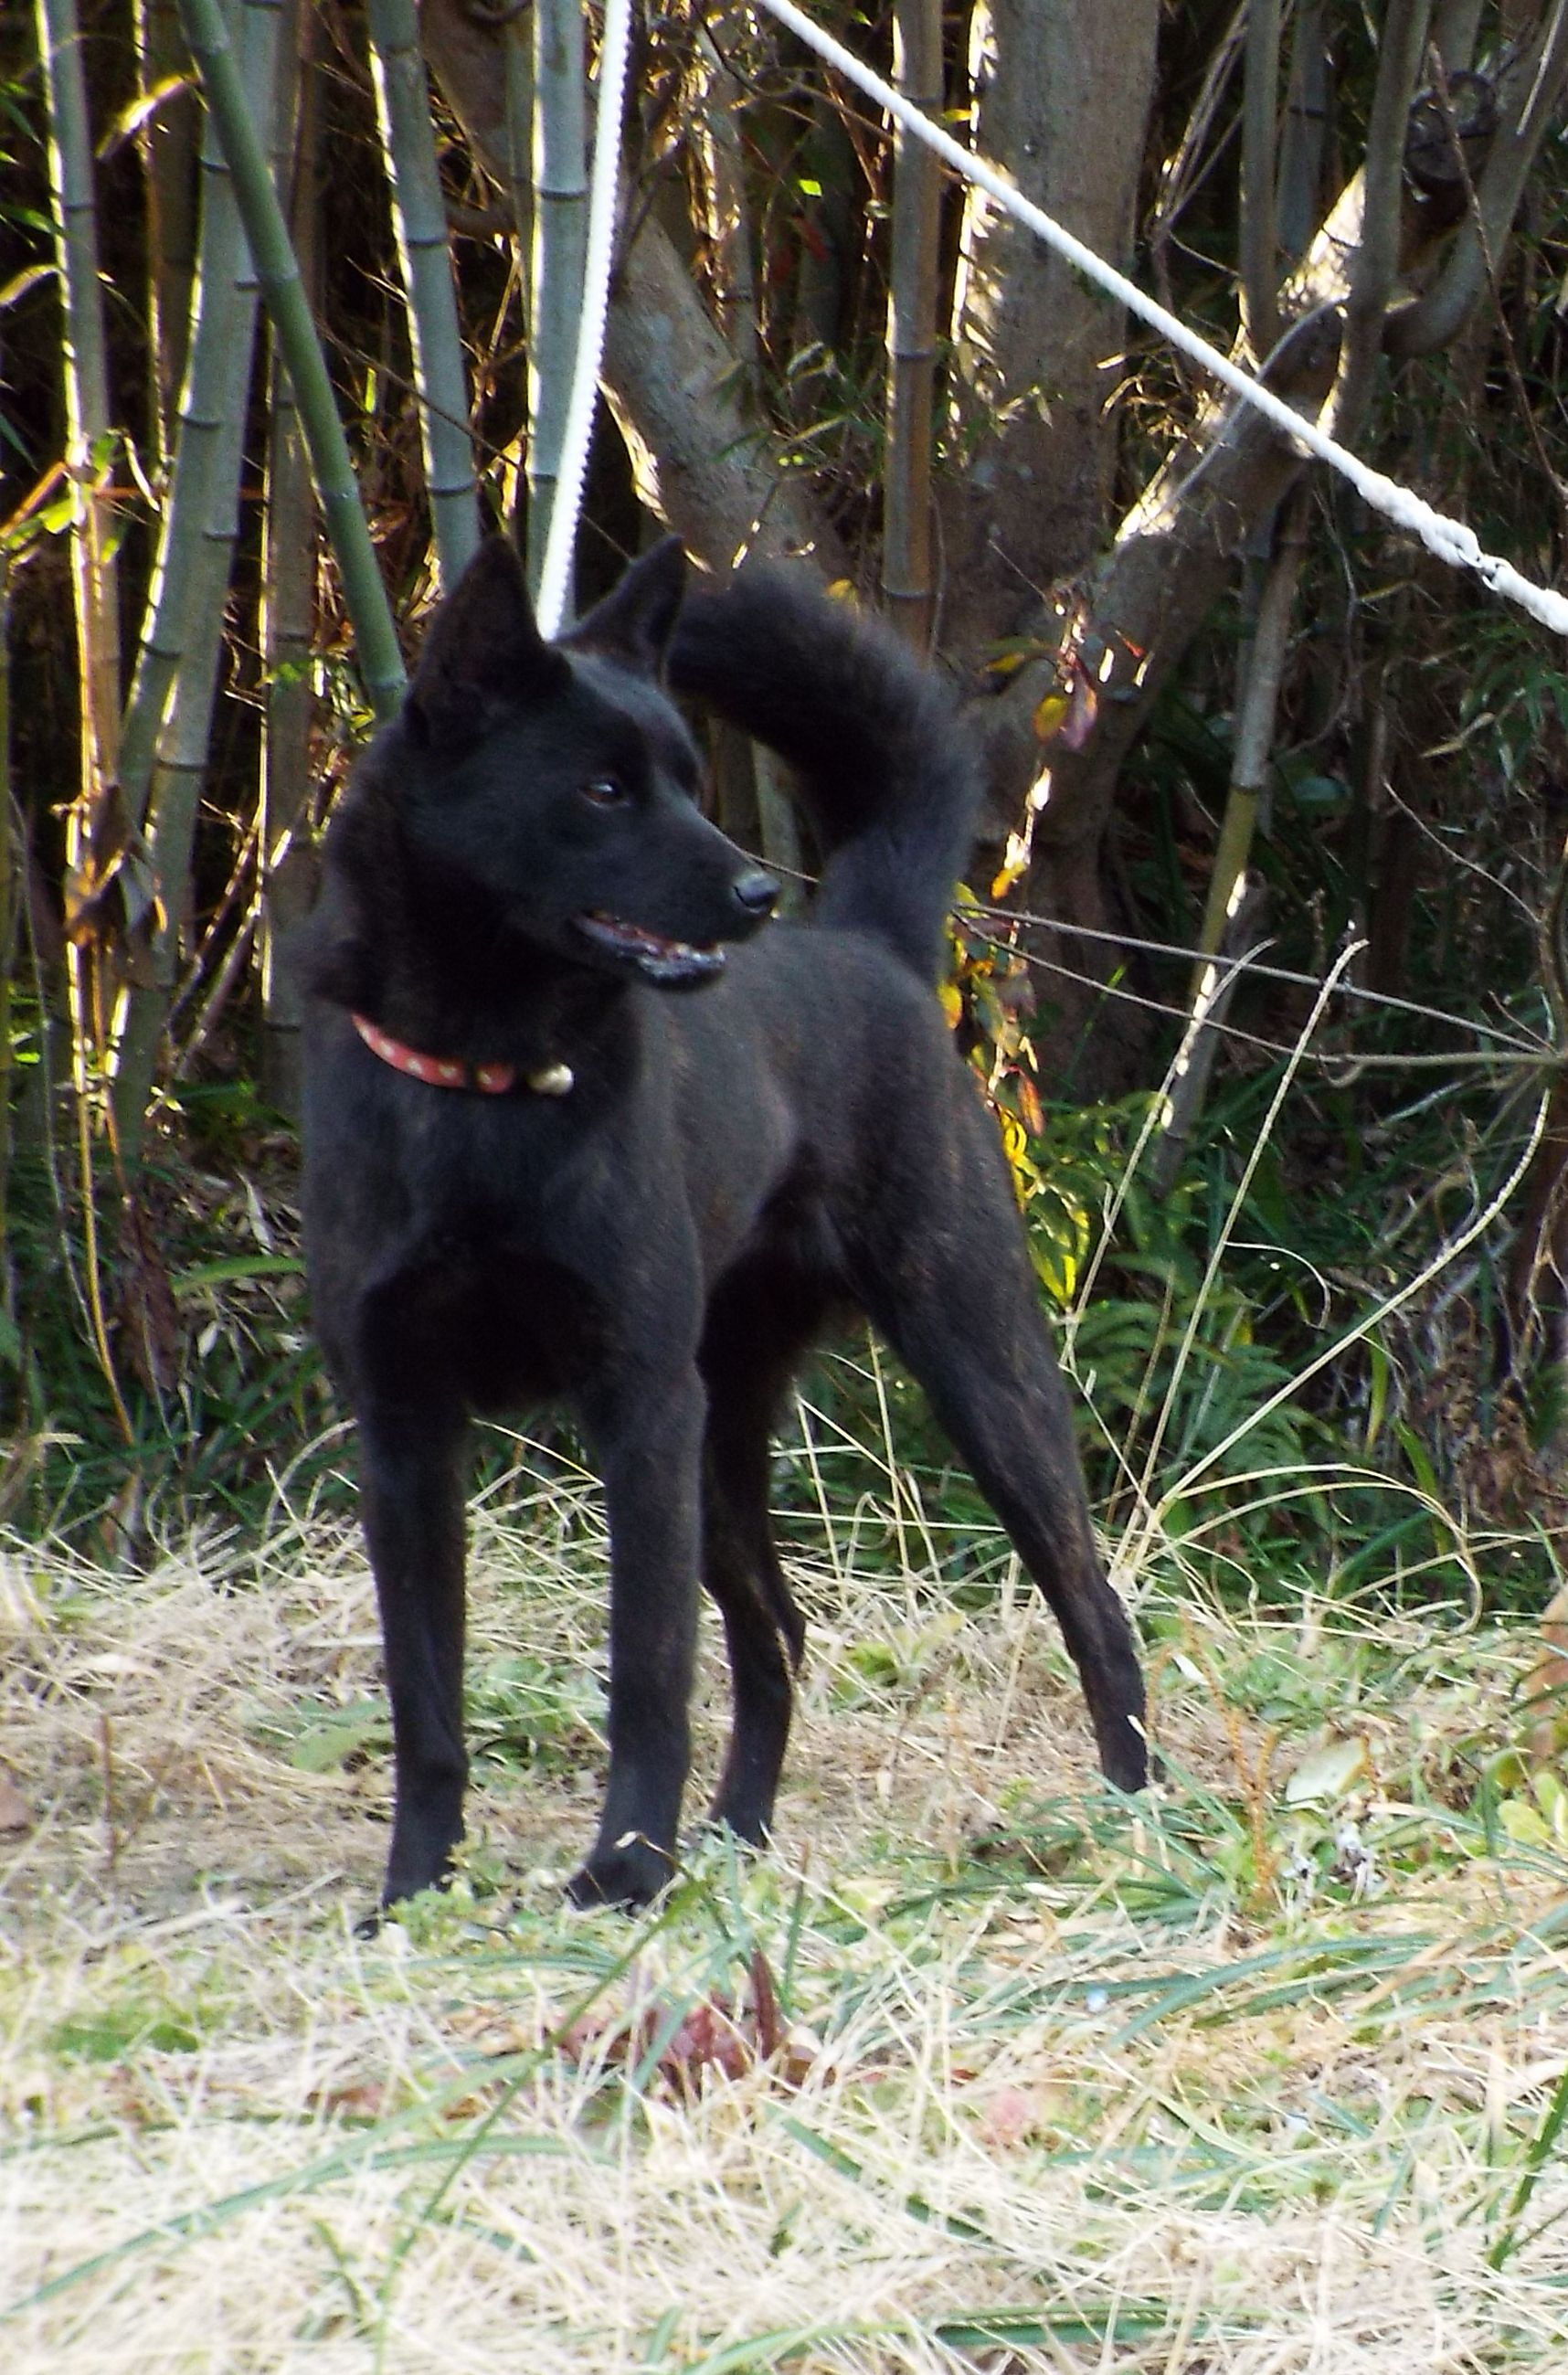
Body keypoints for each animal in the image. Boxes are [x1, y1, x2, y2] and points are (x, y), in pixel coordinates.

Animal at [300, 544, 1145, 1909]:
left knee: (1087, 1594)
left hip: (976, 1367)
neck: (489, 1078)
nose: (751, 892)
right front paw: (414, 1891)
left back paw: (1136, 1810)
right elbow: (426, 1698)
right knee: (776, 1633)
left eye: (690, 782)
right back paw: (738, 1836)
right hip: (724, 1434)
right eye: (601, 788)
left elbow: (648, 1674)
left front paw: (621, 1875)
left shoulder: (638, 1407)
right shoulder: (404, 1430)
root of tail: (869, 942)